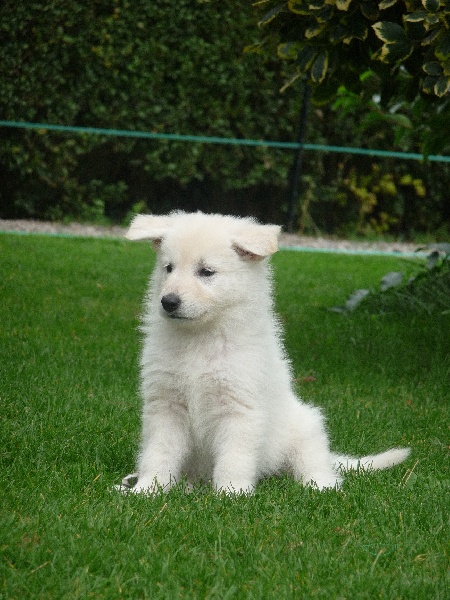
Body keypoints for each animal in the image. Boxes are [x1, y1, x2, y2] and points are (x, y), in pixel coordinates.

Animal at [121, 210, 410, 492]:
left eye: (206, 272)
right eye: (168, 268)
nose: (168, 302)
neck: (201, 338)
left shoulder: (239, 408)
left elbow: (233, 458)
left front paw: (231, 494)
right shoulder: (166, 405)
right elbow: (159, 453)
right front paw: (148, 489)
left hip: (306, 430)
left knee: (315, 466)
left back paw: (320, 486)